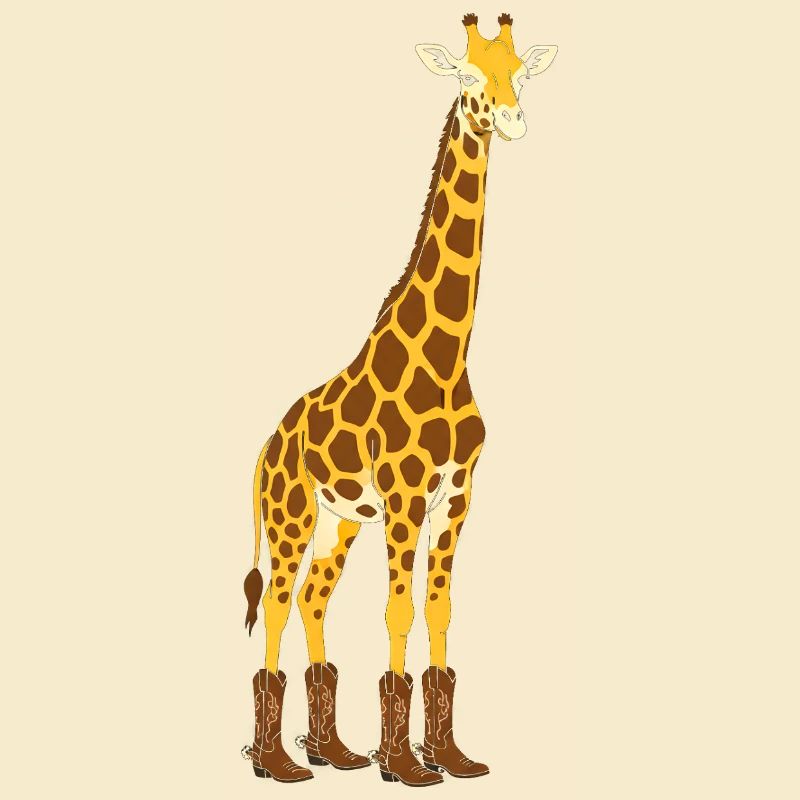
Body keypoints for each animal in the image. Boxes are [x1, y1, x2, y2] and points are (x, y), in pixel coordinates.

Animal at [241, 13, 558, 786]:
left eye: (520, 75)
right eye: (468, 77)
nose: (512, 119)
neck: (449, 357)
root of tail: (267, 443)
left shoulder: (458, 496)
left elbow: (439, 611)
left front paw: (447, 755)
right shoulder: (407, 498)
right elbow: (399, 612)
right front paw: (405, 765)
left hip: (343, 521)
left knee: (313, 596)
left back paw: (331, 750)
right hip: (292, 513)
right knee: (277, 602)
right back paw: (277, 761)